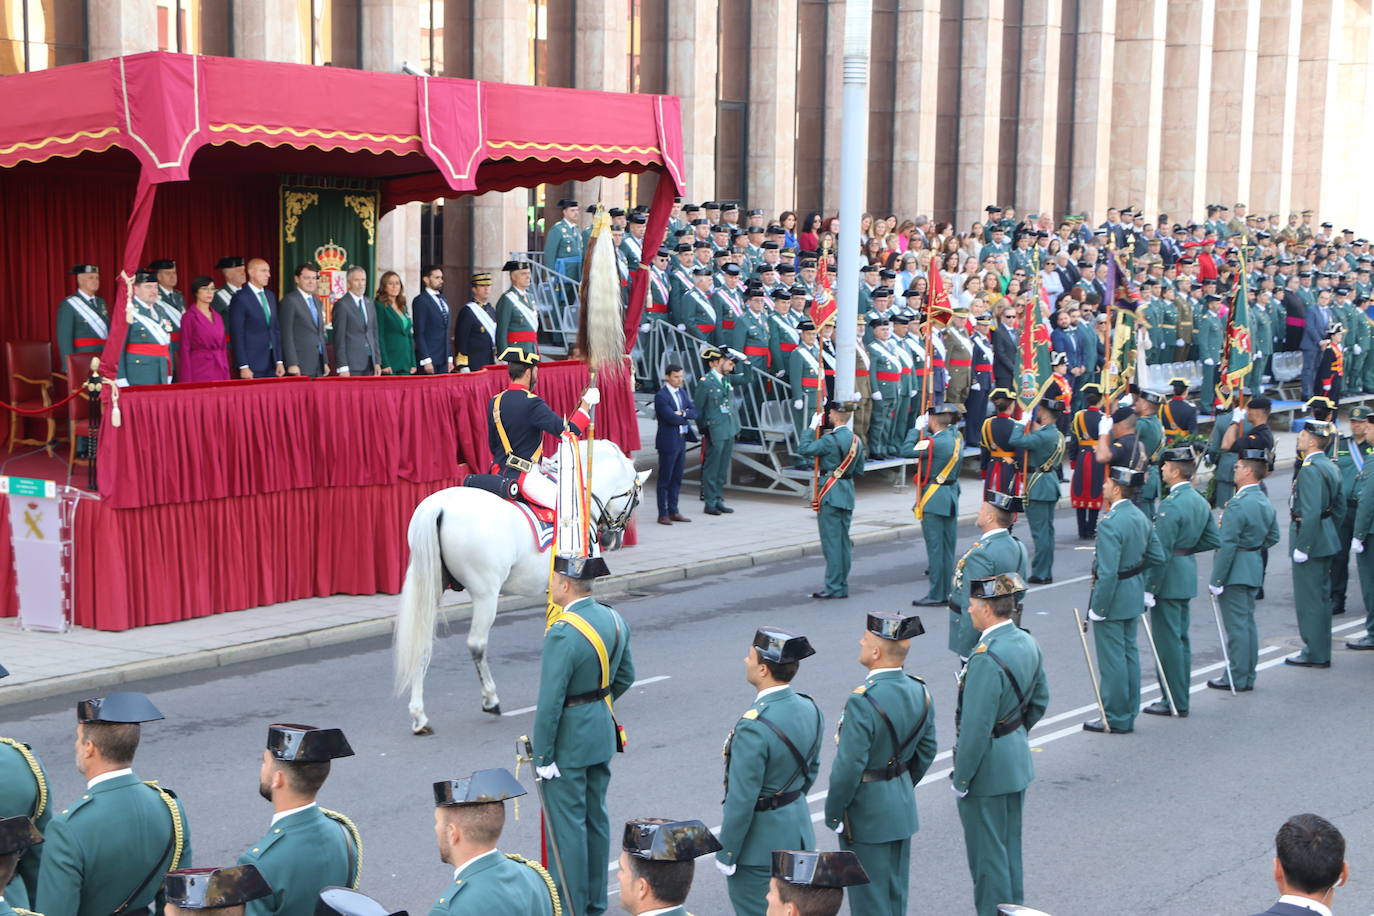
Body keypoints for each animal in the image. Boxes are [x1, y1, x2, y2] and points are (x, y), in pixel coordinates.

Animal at [392, 439, 648, 736]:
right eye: (636, 499)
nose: (612, 539)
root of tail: (439, 507)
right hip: (485, 594)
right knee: (476, 644)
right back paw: (490, 700)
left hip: (430, 588)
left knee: (422, 644)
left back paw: (420, 716)